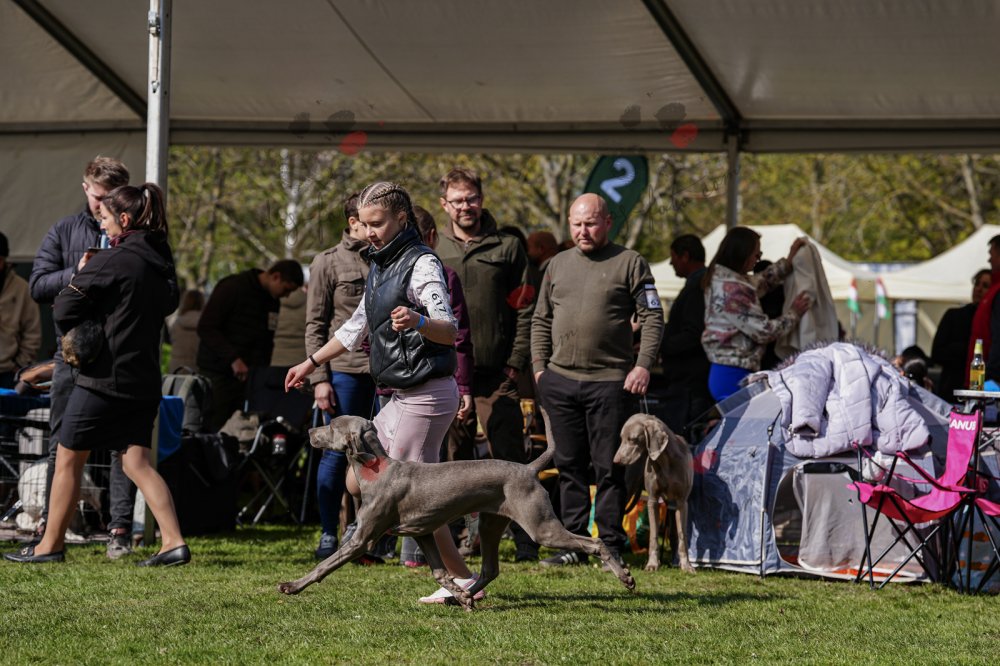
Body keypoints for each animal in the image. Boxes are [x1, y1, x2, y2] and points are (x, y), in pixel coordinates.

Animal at [277, 415, 635, 609]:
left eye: (331, 425)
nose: (309, 433)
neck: (376, 469)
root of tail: (529, 468)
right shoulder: (422, 532)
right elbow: (440, 572)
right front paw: (459, 596)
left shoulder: (362, 539)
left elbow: (325, 564)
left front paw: (293, 586)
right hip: (492, 523)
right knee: (490, 568)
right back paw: (461, 597)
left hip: (540, 525)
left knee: (594, 543)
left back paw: (626, 577)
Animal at [613, 413, 695, 573]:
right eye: (621, 438)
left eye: (632, 439)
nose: (616, 461)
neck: (665, 461)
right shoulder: (652, 500)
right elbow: (653, 535)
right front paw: (652, 564)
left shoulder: (682, 502)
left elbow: (682, 535)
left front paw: (686, 565)